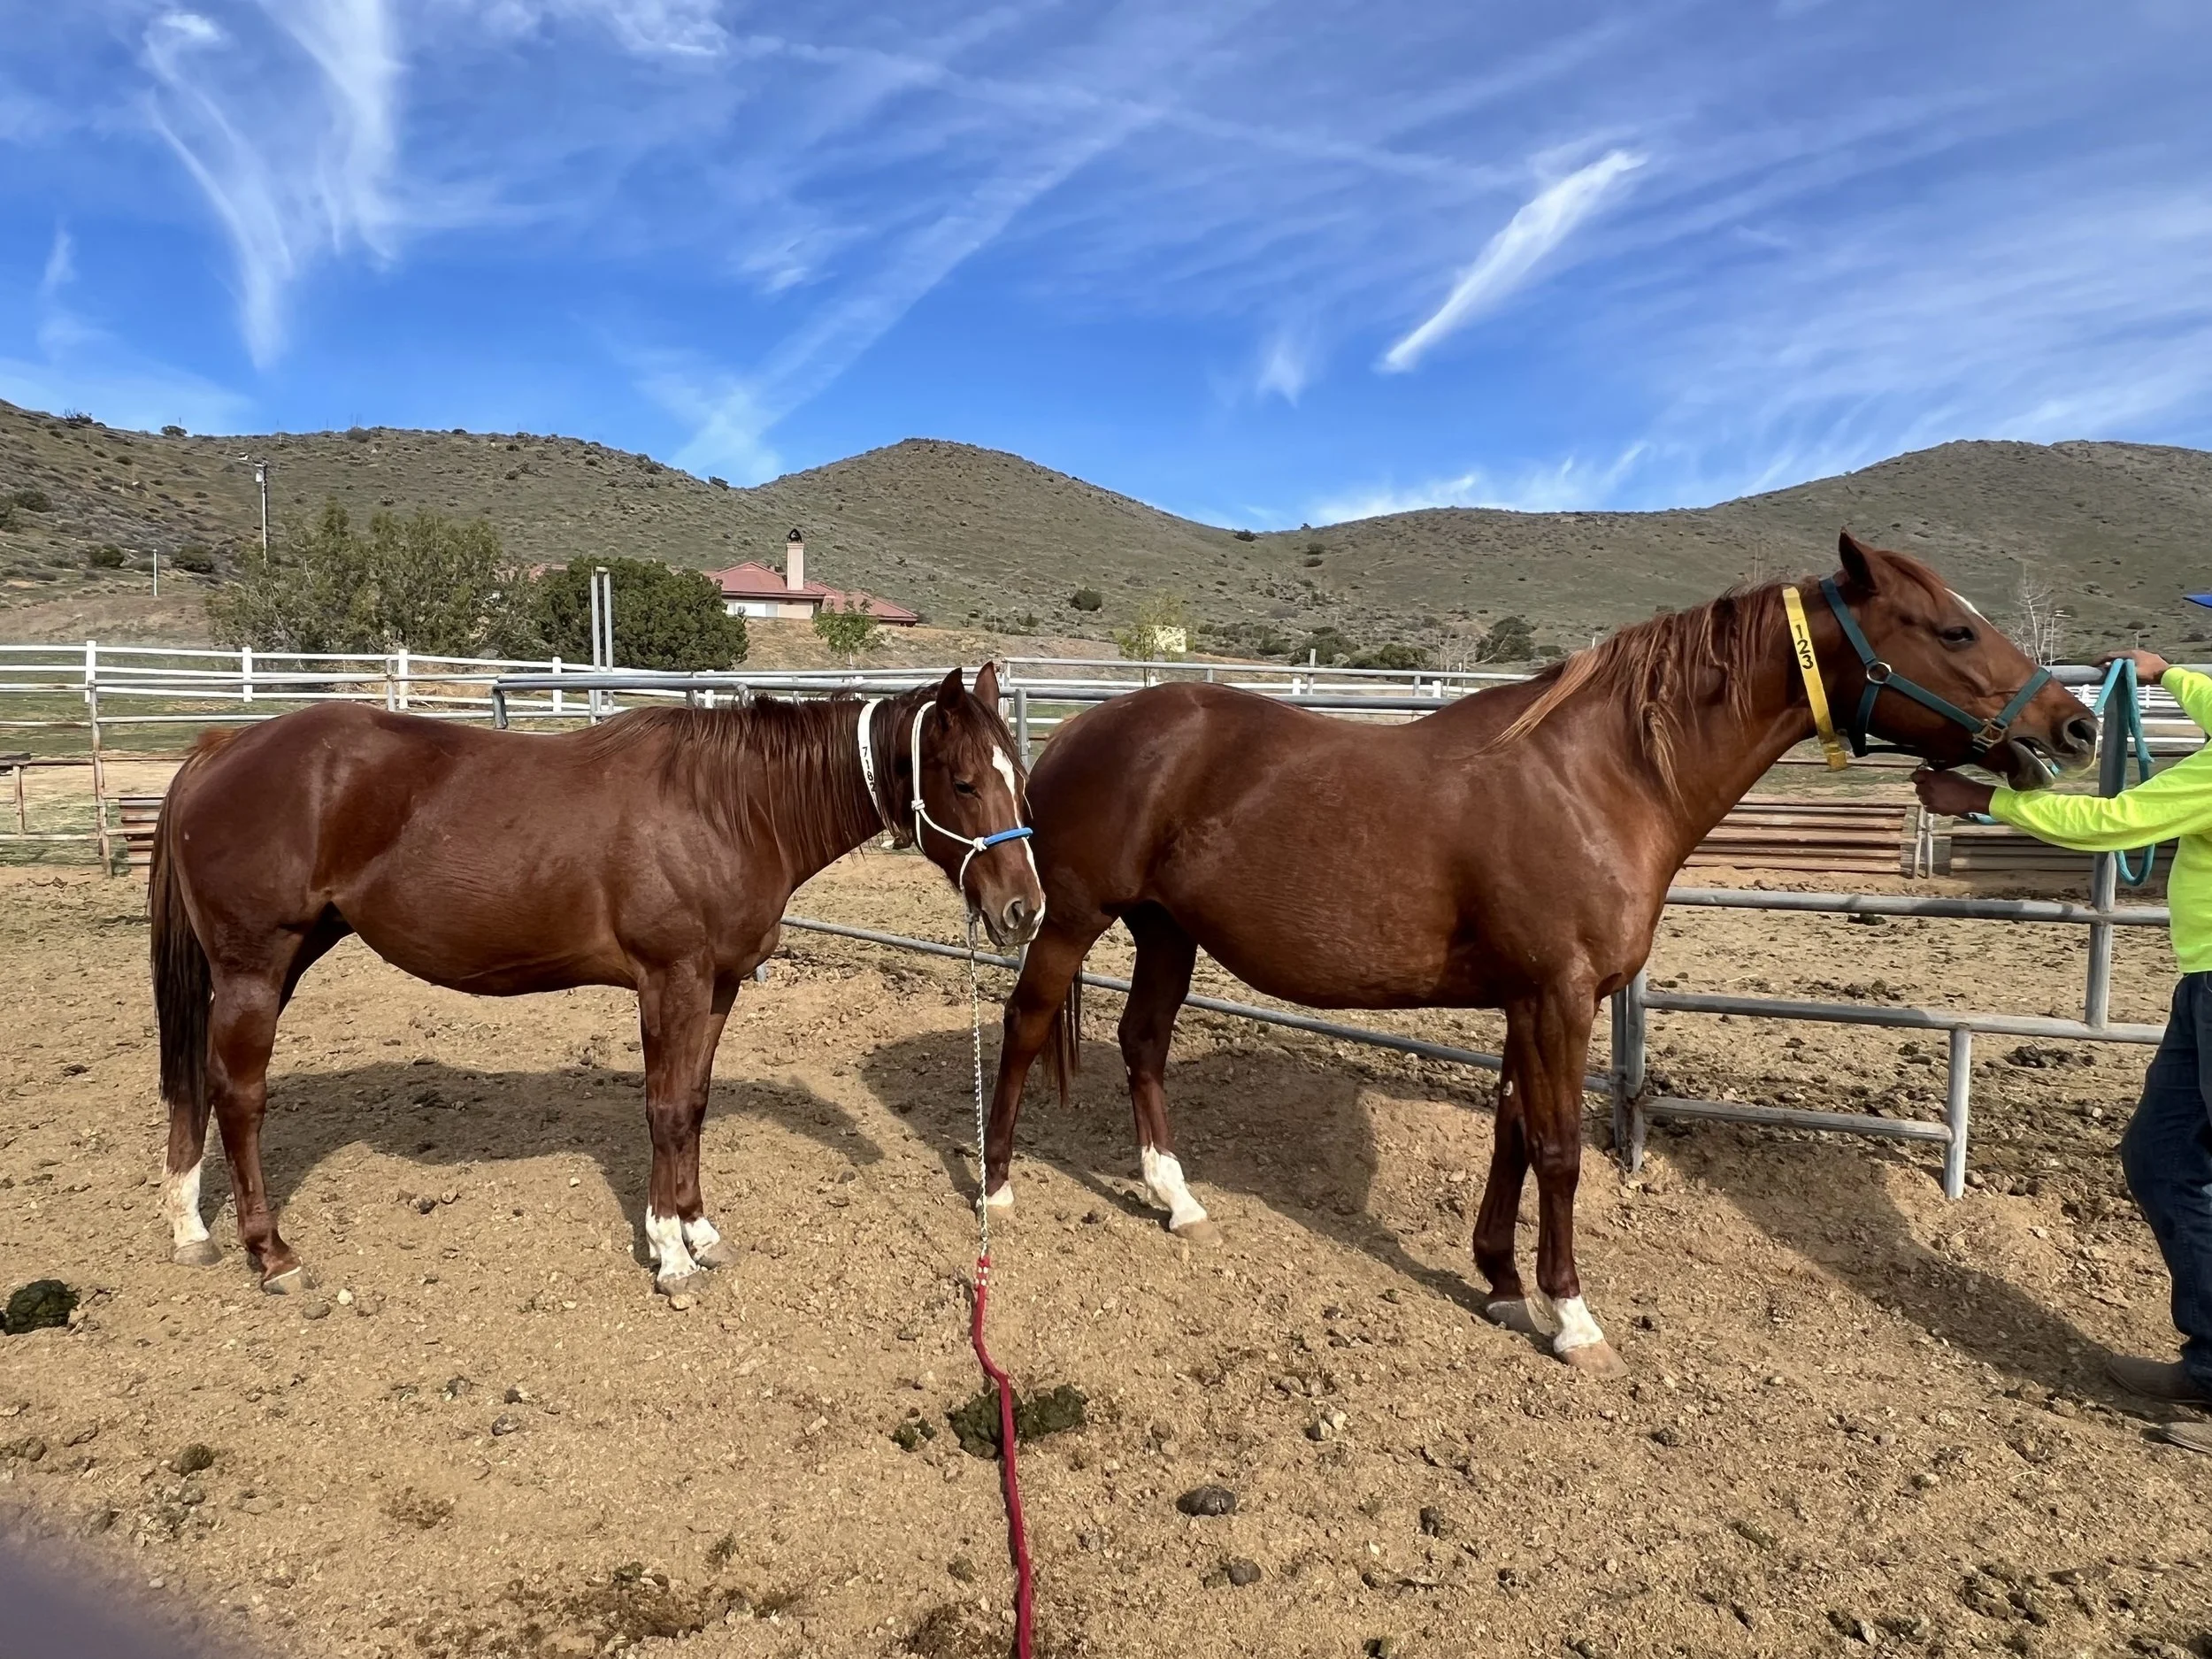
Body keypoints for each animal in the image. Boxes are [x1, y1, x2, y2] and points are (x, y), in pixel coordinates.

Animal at [150, 665, 1044, 1295]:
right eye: (963, 781)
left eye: (1020, 777)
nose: (1024, 911)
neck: (729, 805)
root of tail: (222, 748)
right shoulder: (670, 981)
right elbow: (666, 1108)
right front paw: (670, 1254)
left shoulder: (717, 987)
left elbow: (693, 1104)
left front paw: (696, 1228)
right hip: (256, 967)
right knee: (238, 1095)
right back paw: (270, 1252)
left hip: (279, 959)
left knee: (199, 1082)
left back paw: (191, 1227)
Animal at [978, 535, 2096, 1374]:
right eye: (1953, 628)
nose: (2075, 725)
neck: (1597, 777)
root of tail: (1079, 727)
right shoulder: (1559, 997)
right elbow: (1558, 1150)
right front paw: (1572, 1317)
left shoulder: (1534, 1000)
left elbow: (1513, 1134)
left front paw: (1503, 1283)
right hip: (1071, 920)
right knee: (1025, 1026)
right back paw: (992, 1188)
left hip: (1166, 930)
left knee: (1142, 1044)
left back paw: (1174, 1198)